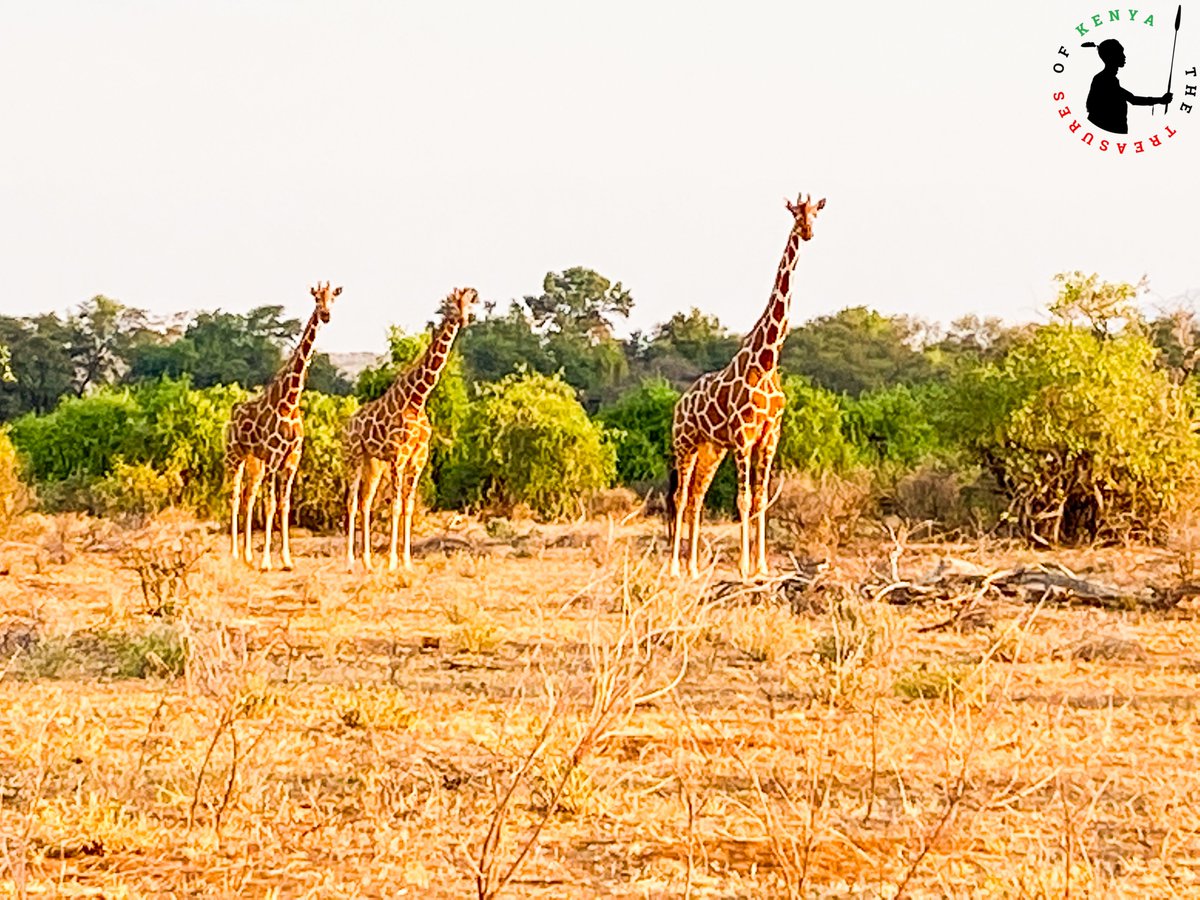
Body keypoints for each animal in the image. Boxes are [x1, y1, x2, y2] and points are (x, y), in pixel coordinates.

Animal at [225, 282, 341, 570]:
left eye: (333, 298)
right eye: (316, 298)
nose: (326, 315)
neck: (290, 402)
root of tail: (233, 414)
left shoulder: (291, 459)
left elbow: (285, 505)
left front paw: (286, 559)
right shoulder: (275, 457)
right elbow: (271, 504)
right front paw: (267, 561)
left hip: (255, 462)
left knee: (248, 497)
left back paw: (247, 555)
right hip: (234, 455)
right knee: (234, 496)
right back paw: (234, 554)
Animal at [343, 287, 477, 572]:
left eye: (469, 305)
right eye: (452, 305)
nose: (463, 320)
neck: (417, 399)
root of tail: (347, 424)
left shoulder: (418, 457)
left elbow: (408, 506)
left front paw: (406, 561)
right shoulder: (398, 456)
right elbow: (395, 506)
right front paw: (393, 561)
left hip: (374, 463)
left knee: (365, 502)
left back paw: (367, 562)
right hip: (354, 456)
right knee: (351, 501)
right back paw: (349, 560)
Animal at [668, 193, 825, 579]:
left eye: (816, 213)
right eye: (795, 213)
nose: (808, 232)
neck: (767, 360)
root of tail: (680, 403)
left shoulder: (770, 436)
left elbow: (760, 498)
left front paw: (762, 567)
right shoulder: (743, 436)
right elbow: (742, 499)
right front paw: (742, 567)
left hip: (711, 449)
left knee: (697, 497)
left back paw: (694, 568)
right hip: (685, 442)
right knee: (681, 496)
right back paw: (675, 568)